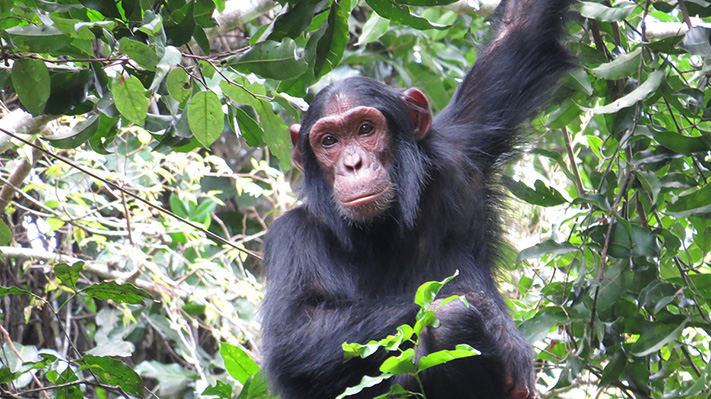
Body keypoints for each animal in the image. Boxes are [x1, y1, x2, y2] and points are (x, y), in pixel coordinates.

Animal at [262, 0, 572, 398]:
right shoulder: (291, 236)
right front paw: (491, 318)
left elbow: (520, 31)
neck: (382, 228)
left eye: (365, 129)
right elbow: (294, 332)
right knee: (448, 319)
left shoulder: (464, 142)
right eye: (329, 141)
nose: (352, 163)